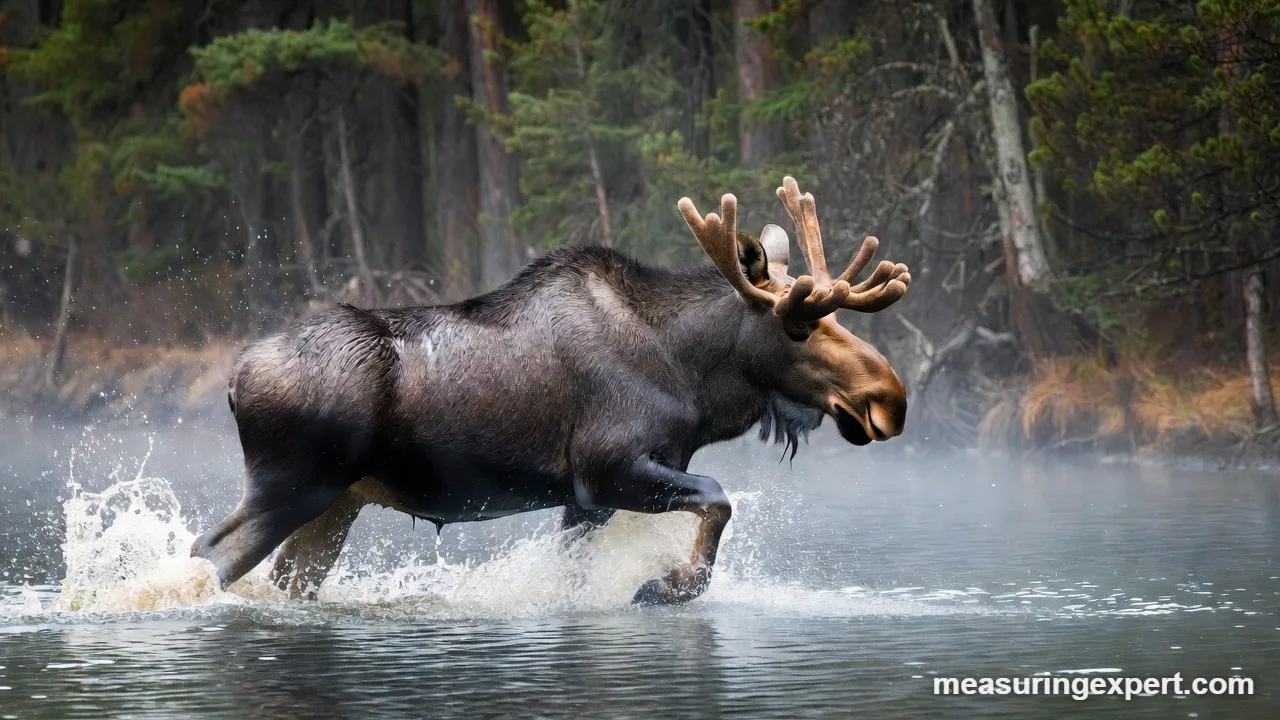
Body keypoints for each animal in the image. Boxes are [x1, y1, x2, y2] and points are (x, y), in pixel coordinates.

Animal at [190, 176, 912, 606]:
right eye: (798, 322)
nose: (890, 398)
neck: (694, 379)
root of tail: (234, 379)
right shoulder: (605, 470)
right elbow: (717, 501)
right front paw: (663, 585)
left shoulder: (581, 502)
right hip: (293, 485)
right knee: (206, 554)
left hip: (339, 500)